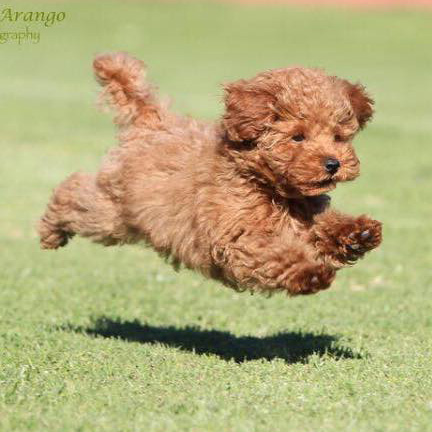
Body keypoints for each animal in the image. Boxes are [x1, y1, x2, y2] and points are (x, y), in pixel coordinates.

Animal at [37, 52, 382, 296]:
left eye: (338, 136)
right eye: (298, 137)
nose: (333, 164)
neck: (270, 188)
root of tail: (153, 120)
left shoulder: (304, 213)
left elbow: (323, 227)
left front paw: (358, 233)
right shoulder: (235, 234)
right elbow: (273, 253)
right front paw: (310, 273)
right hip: (114, 212)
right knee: (75, 193)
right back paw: (51, 229)